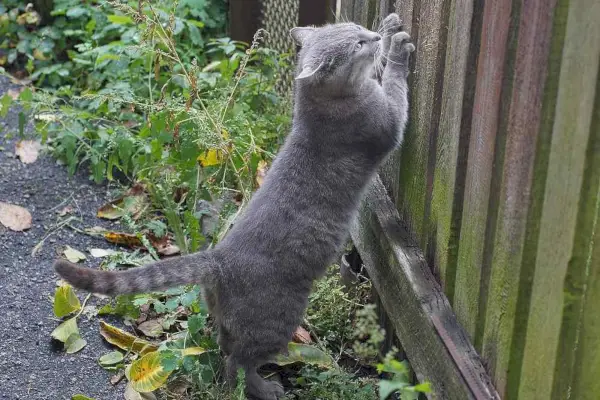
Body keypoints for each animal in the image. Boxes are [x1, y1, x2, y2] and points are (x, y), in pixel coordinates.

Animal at [55, 14, 412, 398]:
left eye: (358, 29)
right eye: (357, 45)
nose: (371, 35)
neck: (313, 109)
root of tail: (219, 259)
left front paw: (390, 25)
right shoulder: (385, 124)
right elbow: (395, 87)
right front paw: (397, 45)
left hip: (228, 320)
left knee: (225, 349)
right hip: (278, 319)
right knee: (237, 364)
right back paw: (266, 388)